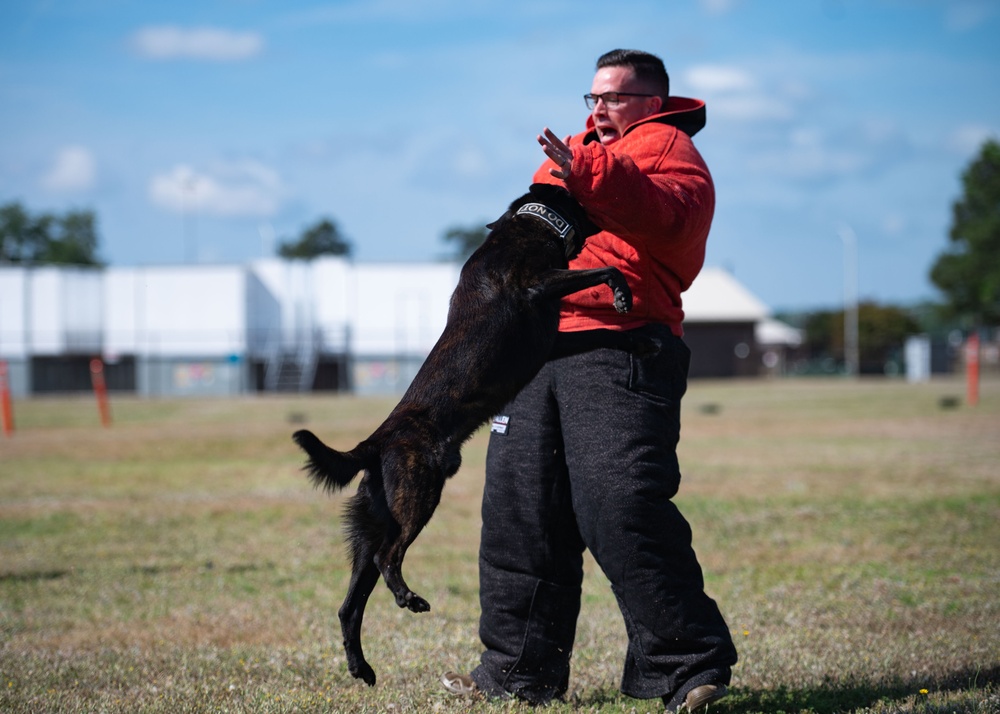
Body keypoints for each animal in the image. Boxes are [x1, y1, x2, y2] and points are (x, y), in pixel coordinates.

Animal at [292, 182, 628, 684]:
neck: (529, 226)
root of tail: (375, 443)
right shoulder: (538, 284)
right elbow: (603, 269)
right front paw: (622, 292)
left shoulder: (553, 336)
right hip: (418, 496)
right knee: (389, 556)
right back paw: (408, 598)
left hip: (371, 523)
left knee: (349, 605)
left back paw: (361, 666)